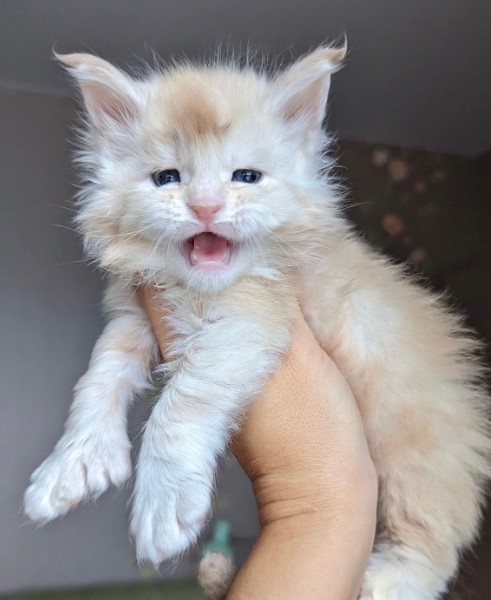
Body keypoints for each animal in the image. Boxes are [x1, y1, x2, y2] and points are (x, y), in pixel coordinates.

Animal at [24, 44, 491, 596]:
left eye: (246, 176)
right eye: (167, 178)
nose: (206, 206)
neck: (197, 287)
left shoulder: (249, 323)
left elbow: (181, 403)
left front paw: (163, 503)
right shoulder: (136, 315)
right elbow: (101, 373)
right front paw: (72, 464)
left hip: (413, 454)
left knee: (433, 537)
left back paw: (387, 580)